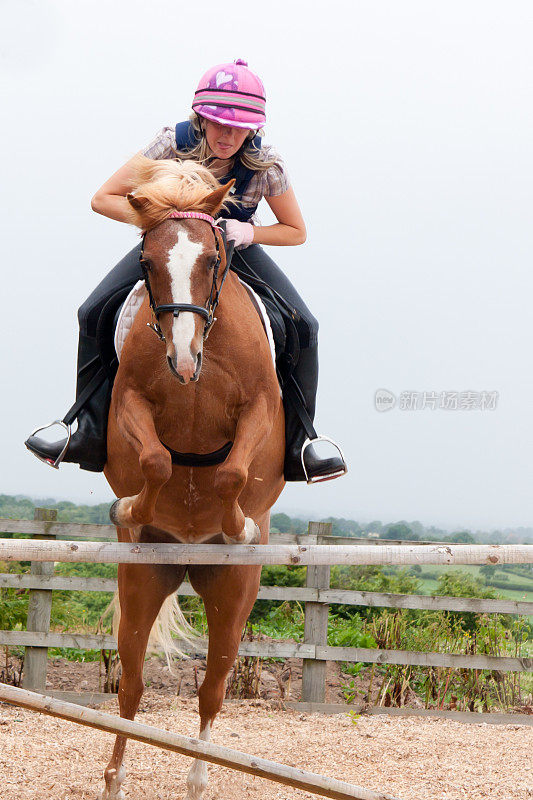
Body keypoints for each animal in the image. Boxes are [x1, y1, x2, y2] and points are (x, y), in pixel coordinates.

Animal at [102, 158, 288, 800]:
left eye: (212, 258)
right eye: (146, 262)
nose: (183, 359)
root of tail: (185, 559)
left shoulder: (261, 408)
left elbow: (231, 472)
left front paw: (239, 525)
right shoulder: (129, 402)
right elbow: (157, 462)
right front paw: (130, 508)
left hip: (232, 594)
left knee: (213, 689)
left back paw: (199, 778)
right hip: (142, 579)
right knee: (130, 686)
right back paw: (114, 778)